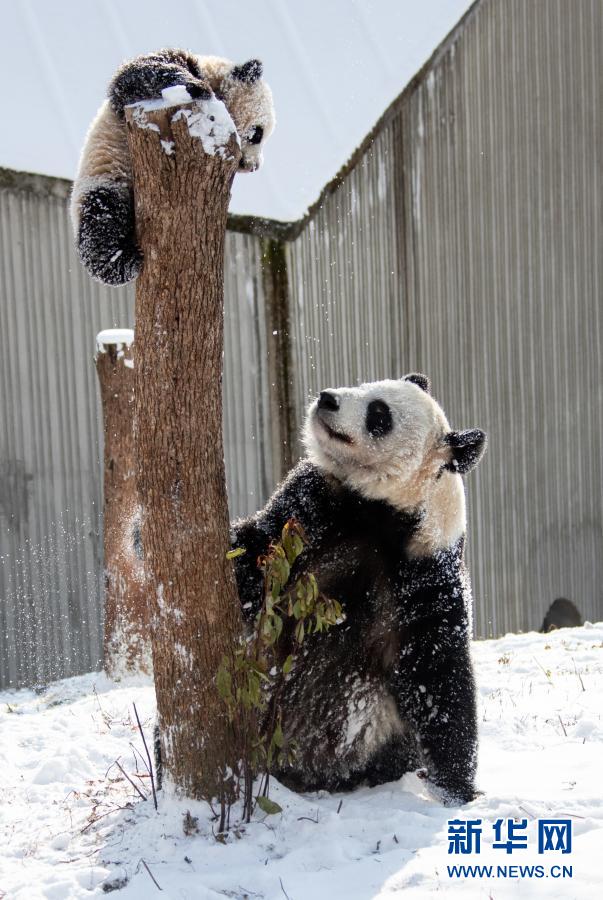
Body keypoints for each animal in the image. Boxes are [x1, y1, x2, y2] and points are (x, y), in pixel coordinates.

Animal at [71, 48, 276, 284]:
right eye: (258, 133)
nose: (254, 166)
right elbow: (136, 75)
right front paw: (196, 87)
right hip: (102, 179)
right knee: (101, 221)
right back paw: (124, 261)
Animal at [234, 370, 488, 800]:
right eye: (366, 385)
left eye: (379, 414)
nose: (327, 399)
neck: (378, 510)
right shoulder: (312, 505)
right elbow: (254, 551)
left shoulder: (425, 571)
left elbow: (437, 675)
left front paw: (457, 791)